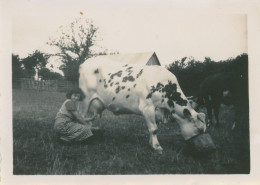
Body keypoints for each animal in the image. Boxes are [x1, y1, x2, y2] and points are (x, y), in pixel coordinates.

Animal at [79, 57, 207, 154]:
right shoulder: (147, 108)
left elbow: (152, 128)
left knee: (88, 121)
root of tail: (85, 62)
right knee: (82, 119)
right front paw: (157, 147)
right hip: (85, 100)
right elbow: (154, 129)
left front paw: (151, 144)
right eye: (199, 129)